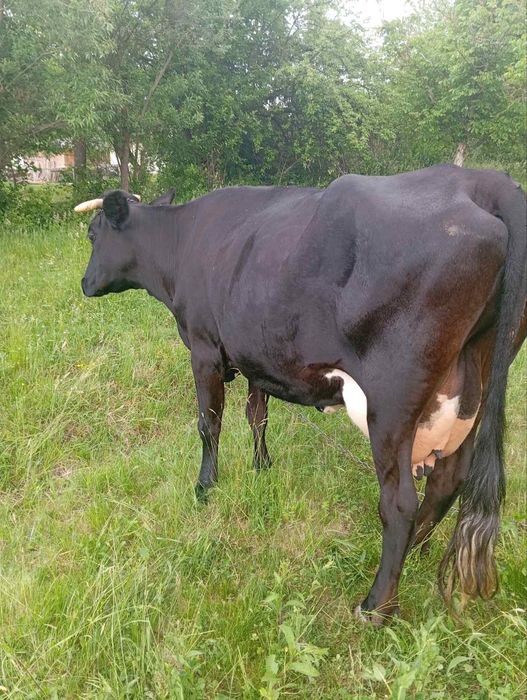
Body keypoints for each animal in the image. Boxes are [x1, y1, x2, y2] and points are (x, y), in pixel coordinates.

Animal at [76, 165, 526, 624]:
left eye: (93, 234)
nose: (84, 283)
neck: (183, 242)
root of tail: (478, 180)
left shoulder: (203, 350)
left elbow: (209, 424)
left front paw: (205, 487)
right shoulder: (256, 356)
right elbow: (256, 415)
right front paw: (262, 467)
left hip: (393, 402)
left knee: (400, 503)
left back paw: (377, 605)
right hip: (476, 382)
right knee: (447, 480)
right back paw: (416, 554)